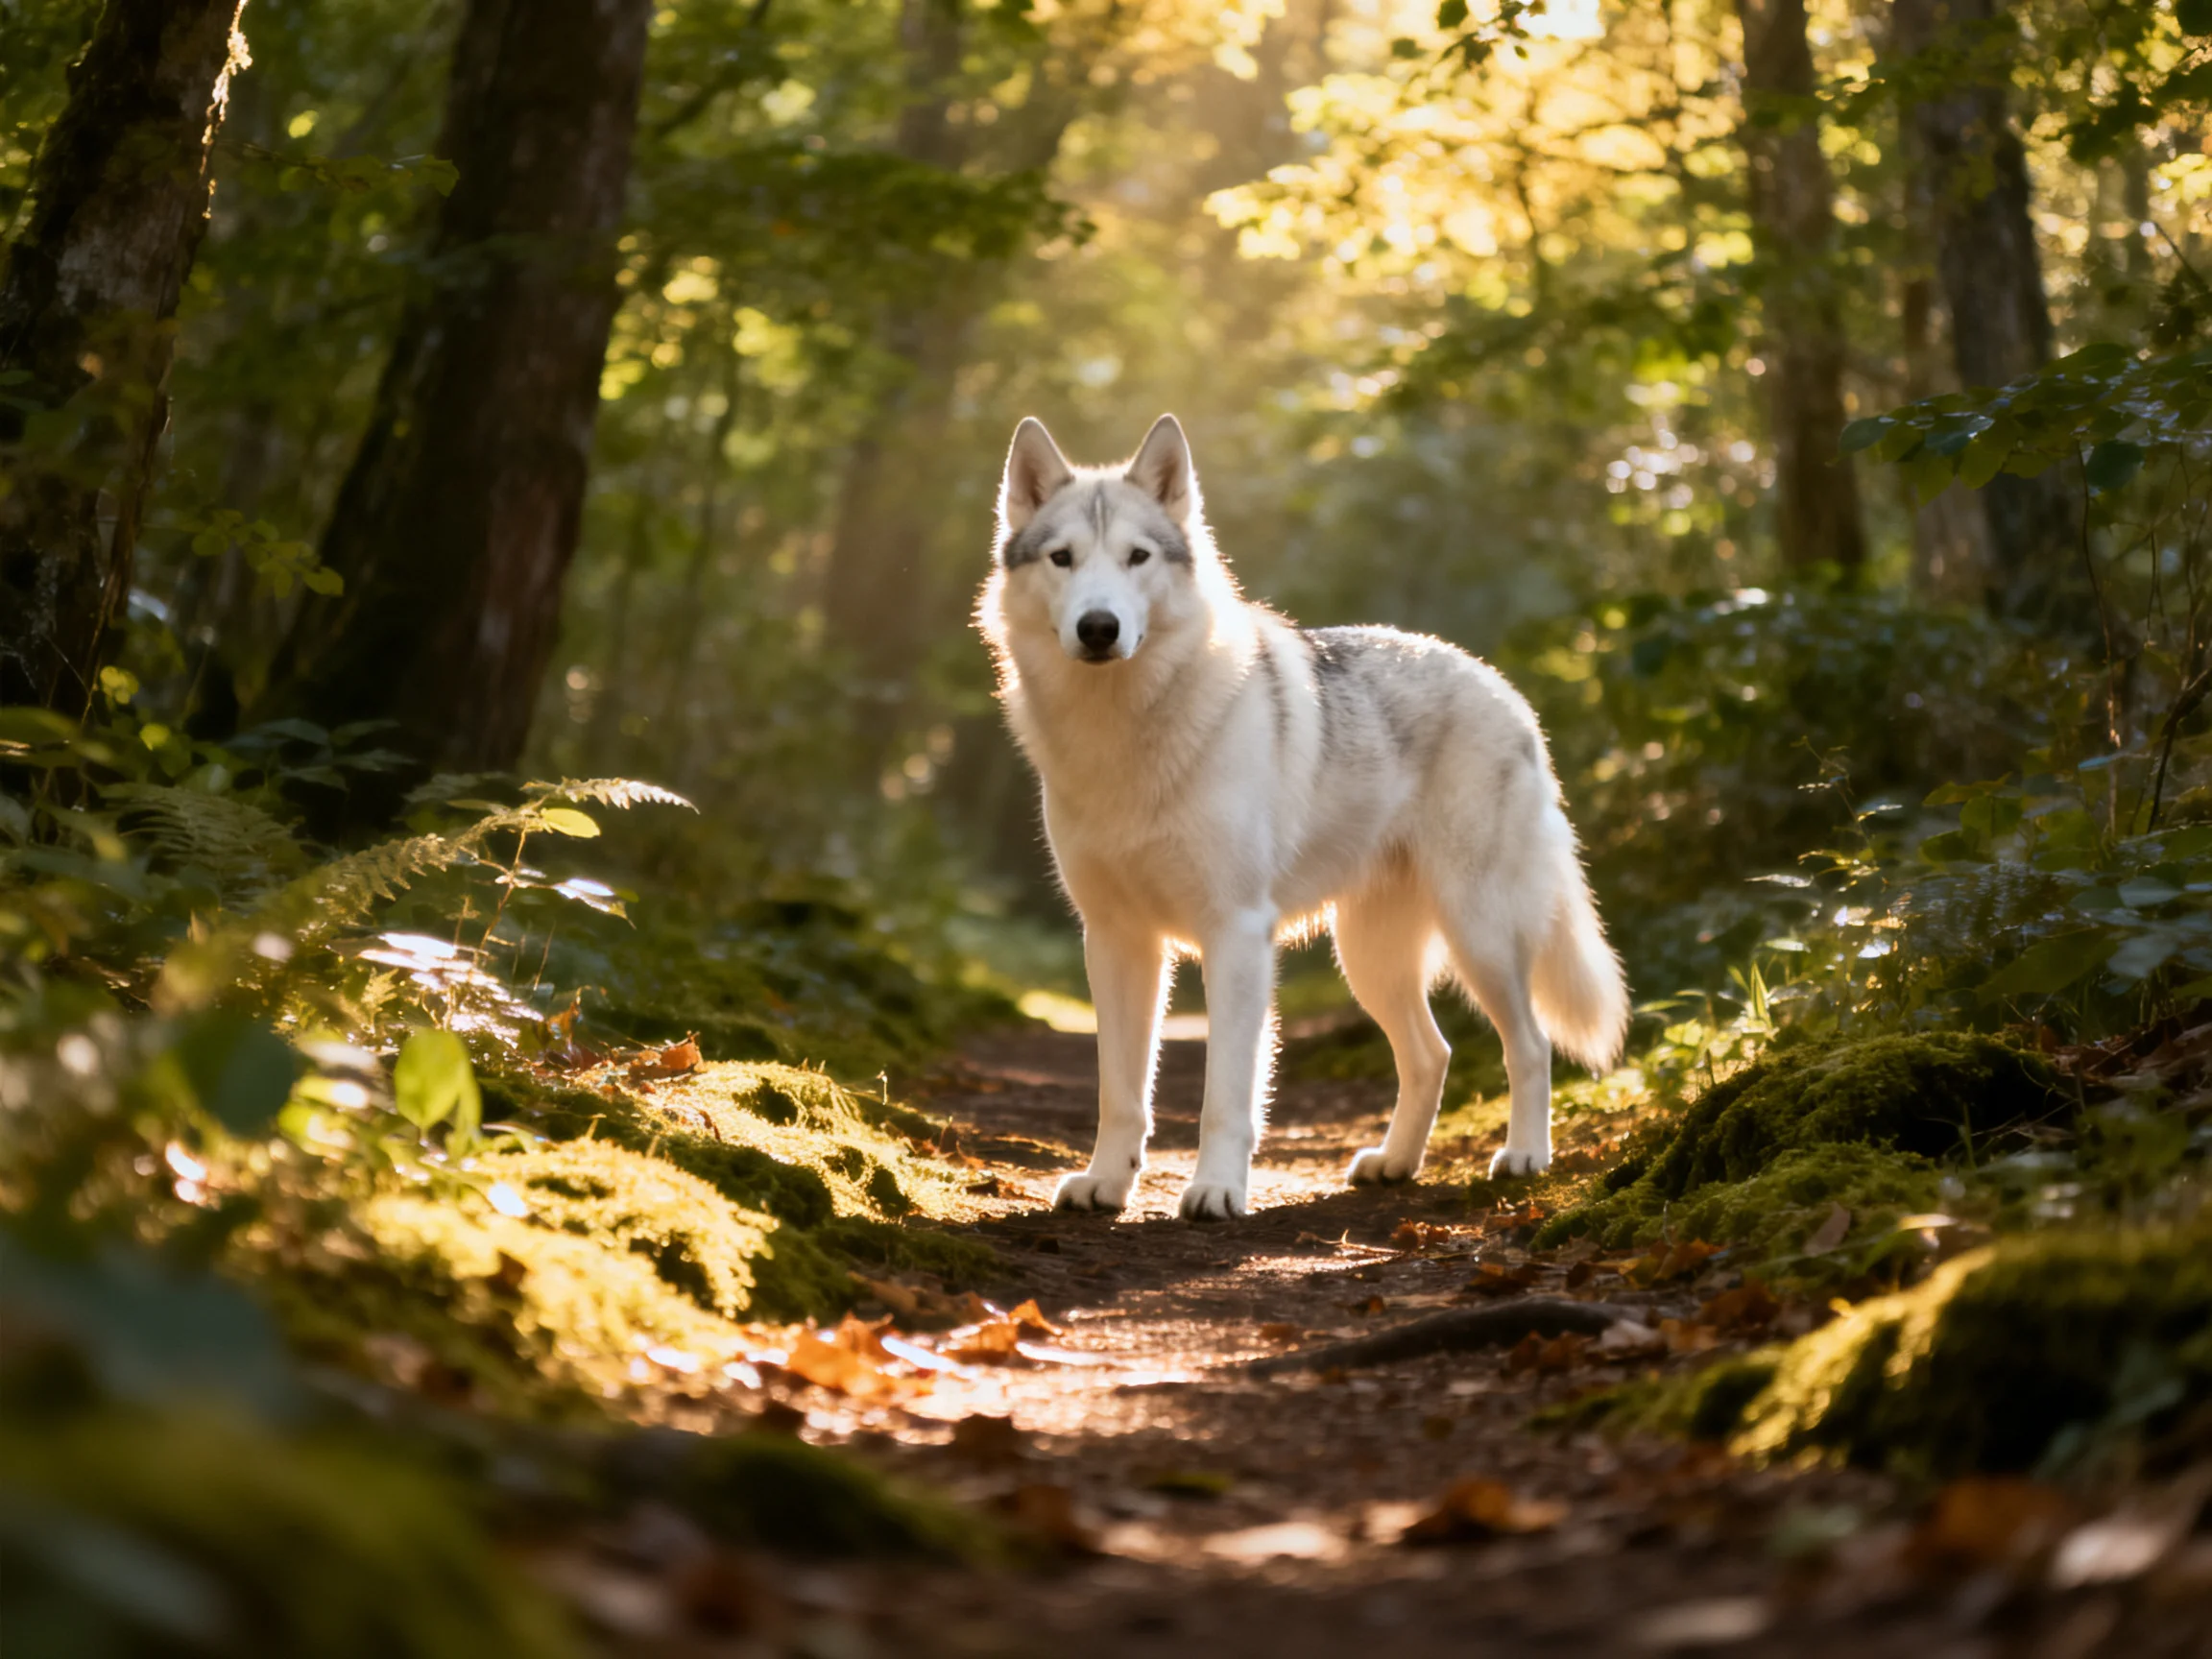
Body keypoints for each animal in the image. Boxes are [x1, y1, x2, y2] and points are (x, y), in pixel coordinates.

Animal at [977, 414, 1628, 1220]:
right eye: (1063, 559)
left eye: (1137, 557)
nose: (1099, 628)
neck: (1123, 731)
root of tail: (1505, 690)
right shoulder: (1116, 941)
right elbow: (1121, 1092)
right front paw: (1105, 1183)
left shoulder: (1236, 935)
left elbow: (1225, 1095)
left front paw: (1216, 1191)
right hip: (1369, 960)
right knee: (1433, 1054)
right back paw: (1395, 1163)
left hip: (1478, 935)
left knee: (1530, 1045)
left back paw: (1524, 1158)